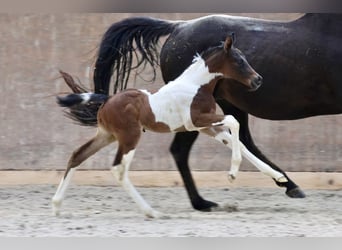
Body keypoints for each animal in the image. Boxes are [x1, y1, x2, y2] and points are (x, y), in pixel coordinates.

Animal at [52, 36, 284, 218]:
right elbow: (233, 121)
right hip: (130, 137)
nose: (258, 80)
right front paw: (233, 173)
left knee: (78, 155)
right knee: (118, 168)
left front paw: (278, 176)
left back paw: (56, 205)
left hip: (107, 135)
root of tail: (107, 100)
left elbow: (239, 143)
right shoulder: (196, 121)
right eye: (238, 60)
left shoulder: (205, 127)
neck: (196, 86)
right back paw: (151, 212)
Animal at [92, 13, 342, 211]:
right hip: (196, 114)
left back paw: (286, 183)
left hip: (228, 104)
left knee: (242, 140)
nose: (258, 80)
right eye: (239, 60)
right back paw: (202, 203)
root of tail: (178, 27)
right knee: (181, 150)